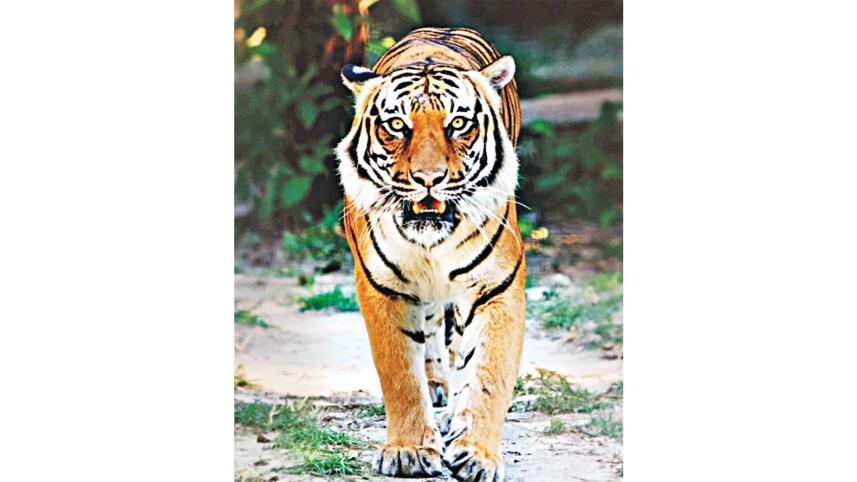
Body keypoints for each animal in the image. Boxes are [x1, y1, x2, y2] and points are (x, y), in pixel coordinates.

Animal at [336, 27, 525, 482]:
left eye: (458, 124)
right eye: (397, 125)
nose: (428, 179)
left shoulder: (496, 287)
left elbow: (488, 373)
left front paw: (477, 454)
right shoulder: (383, 287)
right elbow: (400, 374)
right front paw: (409, 452)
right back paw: (437, 385)